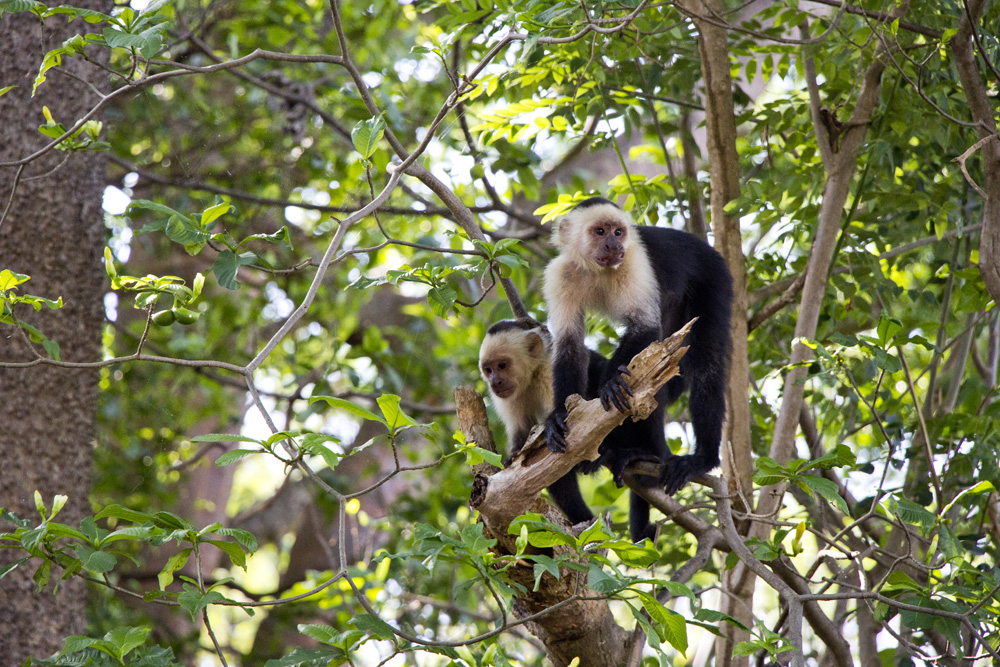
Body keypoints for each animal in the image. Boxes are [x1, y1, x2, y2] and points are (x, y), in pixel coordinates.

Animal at [480, 318, 604, 528]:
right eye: (488, 369)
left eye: (502, 365)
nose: (494, 382)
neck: (533, 374)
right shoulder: (508, 396)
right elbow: (521, 432)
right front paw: (512, 457)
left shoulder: (549, 372)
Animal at [540, 197, 736, 544]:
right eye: (600, 231)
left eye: (618, 231)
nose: (614, 244)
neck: (597, 269)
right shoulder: (561, 275)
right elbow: (569, 347)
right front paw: (559, 417)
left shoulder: (634, 264)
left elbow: (644, 327)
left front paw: (609, 385)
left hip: (713, 277)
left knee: (705, 363)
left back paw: (694, 458)